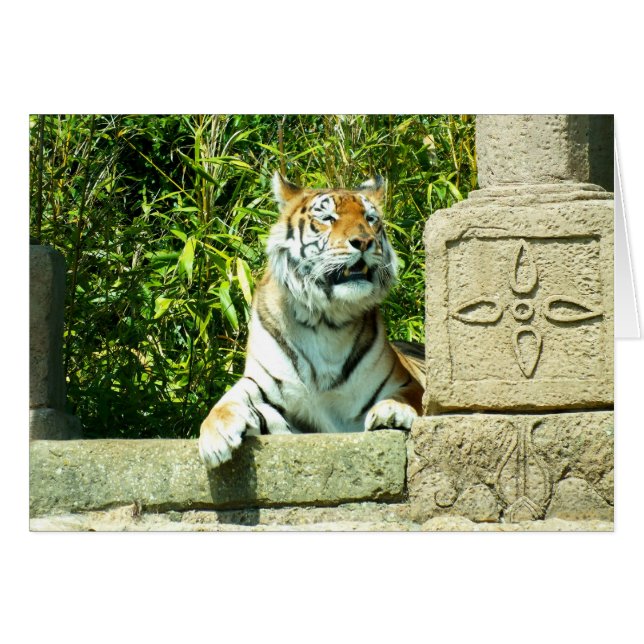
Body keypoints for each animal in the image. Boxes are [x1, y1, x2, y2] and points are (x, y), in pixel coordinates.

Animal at [198, 171, 425, 469]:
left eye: (370, 218)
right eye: (328, 217)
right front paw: (215, 436)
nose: (364, 241)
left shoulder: (406, 383)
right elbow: (229, 401)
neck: (326, 321)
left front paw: (392, 410)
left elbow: (406, 397)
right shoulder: (264, 386)